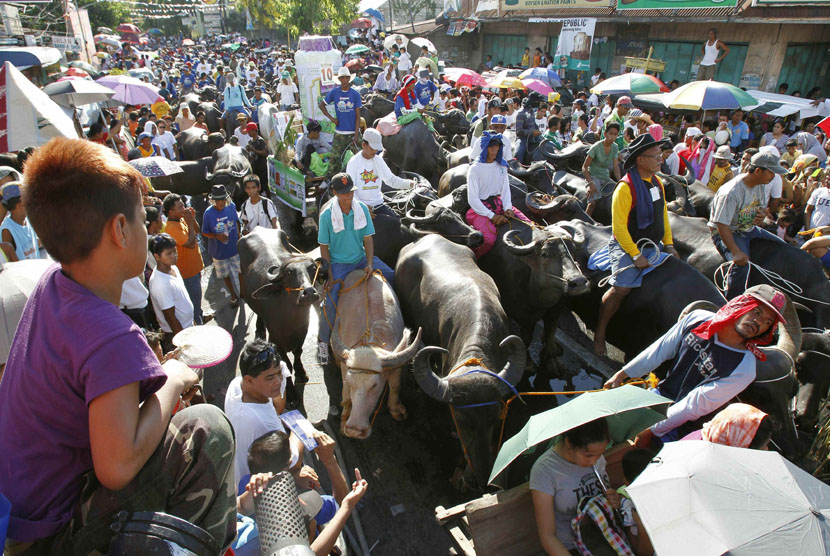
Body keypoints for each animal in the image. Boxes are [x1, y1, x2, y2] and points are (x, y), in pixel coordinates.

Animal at [237, 228, 328, 384]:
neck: (290, 318)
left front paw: (301, 372)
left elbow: (298, 352)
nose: (309, 292)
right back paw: (259, 330)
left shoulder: (302, 332)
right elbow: (285, 363)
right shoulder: (276, 339)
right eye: (289, 273)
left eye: (312, 269)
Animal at [330, 270, 422, 438]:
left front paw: (396, 410)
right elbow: (346, 397)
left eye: (374, 385)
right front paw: (343, 422)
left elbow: (395, 386)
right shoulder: (345, 369)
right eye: (351, 382)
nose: (354, 430)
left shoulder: (396, 365)